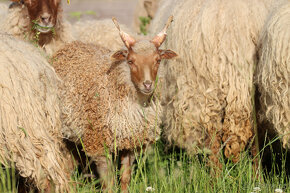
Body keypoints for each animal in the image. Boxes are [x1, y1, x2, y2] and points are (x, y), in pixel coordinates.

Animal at [51, 17, 177, 191]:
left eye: (158, 60)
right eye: (130, 61)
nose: (147, 84)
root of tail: (69, 46)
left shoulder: (130, 142)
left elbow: (125, 177)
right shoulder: (99, 143)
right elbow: (108, 182)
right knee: (65, 167)